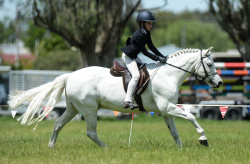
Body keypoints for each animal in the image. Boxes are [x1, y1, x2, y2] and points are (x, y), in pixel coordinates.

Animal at [8, 47, 223, 147]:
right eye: (209, 64)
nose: (219, 83)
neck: (168, 75)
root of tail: (70, 75)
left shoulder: (165, 110)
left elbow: (175, 132)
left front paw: (180, 148)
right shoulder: (167, 107)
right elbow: (192, 116)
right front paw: (203, 139)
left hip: (73, 108)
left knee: (58, 124)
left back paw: (51, 146)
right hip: (89, 110)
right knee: (91, 133)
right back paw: (106, 148)